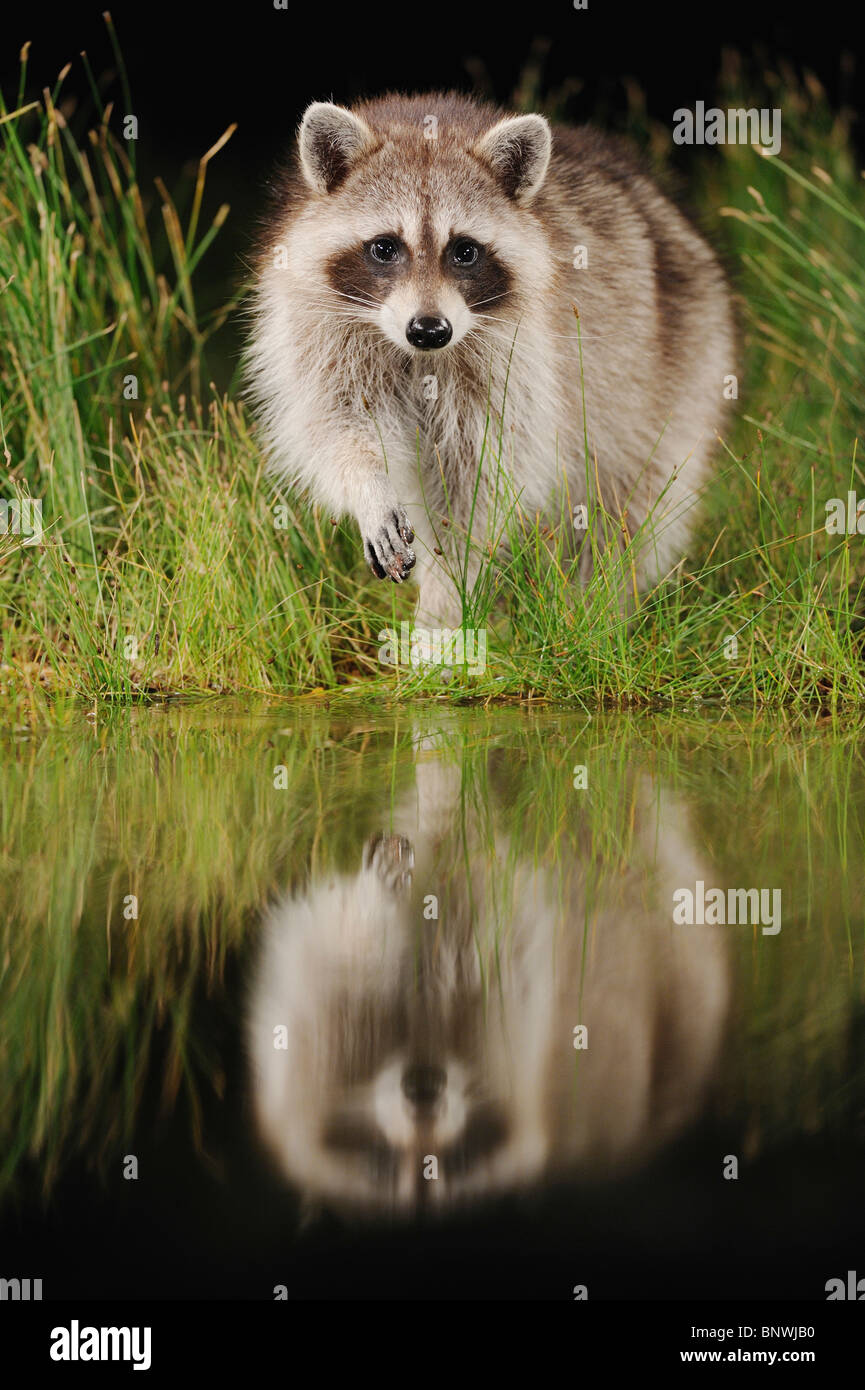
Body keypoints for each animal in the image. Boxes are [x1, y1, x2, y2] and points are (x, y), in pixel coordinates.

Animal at [250, 91, 739, 625]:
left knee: (630, 503)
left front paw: (446, 600)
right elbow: (337, 424)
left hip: (682, 368)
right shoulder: (321, 330)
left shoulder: (518, 357)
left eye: (465, 251)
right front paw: (368, 489)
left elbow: (484, 476)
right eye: (384, 248)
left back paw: (599, 604)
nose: (429, 331)